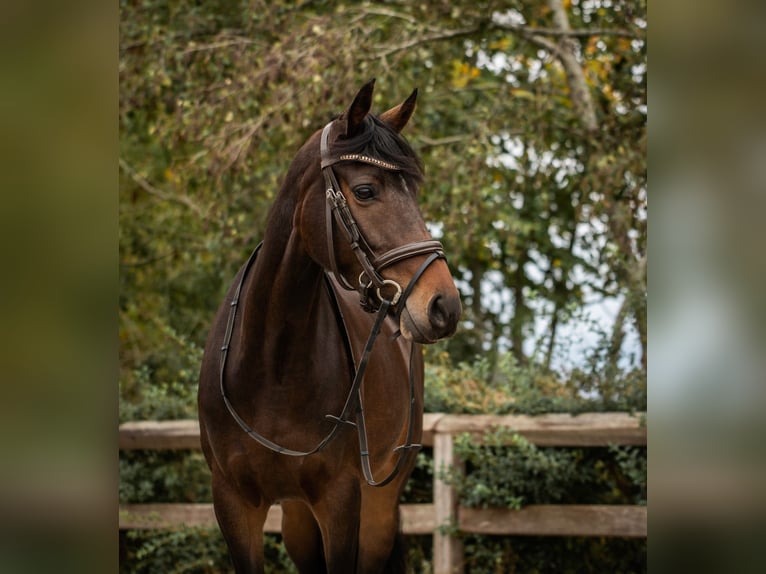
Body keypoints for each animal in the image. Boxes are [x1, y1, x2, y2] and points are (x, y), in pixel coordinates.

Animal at [198, 77, 462, 574]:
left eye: (414, 191)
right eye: (366, 191)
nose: (444, 306)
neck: (271, 364)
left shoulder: (342, 500)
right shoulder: (233, 503)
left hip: (378, 506)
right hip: (298, 516)